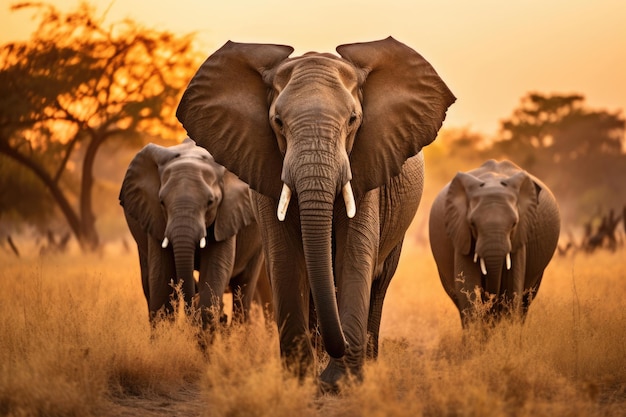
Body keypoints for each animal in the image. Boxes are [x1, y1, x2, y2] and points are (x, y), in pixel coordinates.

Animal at [118, 139, 264, 328]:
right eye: (161, 202)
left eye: (211, 202)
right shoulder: (155, 217)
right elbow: (161, 283)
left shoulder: (227, 214)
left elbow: (215, 272)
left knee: (244, 288)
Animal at [176, 36, 454, 390]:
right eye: (278, 123)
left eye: (352, 120)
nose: (339, 347)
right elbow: (284, 257)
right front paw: (298, 378)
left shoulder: (368, 162)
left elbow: (354, 254)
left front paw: (340, 382)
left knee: (379, 282)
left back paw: (367, 361)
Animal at [426, 159, 560, 324]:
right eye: (472, 223)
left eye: (514, 223)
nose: (491, 301)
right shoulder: (460, 232)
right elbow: (468, 289)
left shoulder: (521, 235)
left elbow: (512, 290)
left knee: (526, 300)